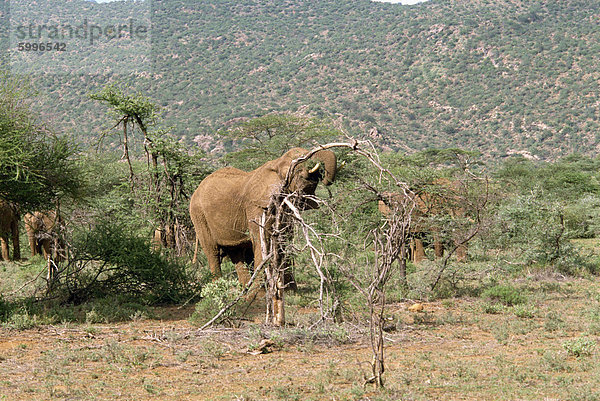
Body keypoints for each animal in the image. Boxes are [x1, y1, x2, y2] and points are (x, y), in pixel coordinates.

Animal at [190, 147, 336, 288]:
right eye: (298, 161)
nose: (322, 174)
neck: (276, 163)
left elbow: (285, 238)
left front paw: (290, 291)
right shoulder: (258, 205)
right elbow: (262, 237)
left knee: (236, 252)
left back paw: (245, 289)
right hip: (199, 216)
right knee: (212, 252)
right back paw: (222, 287)